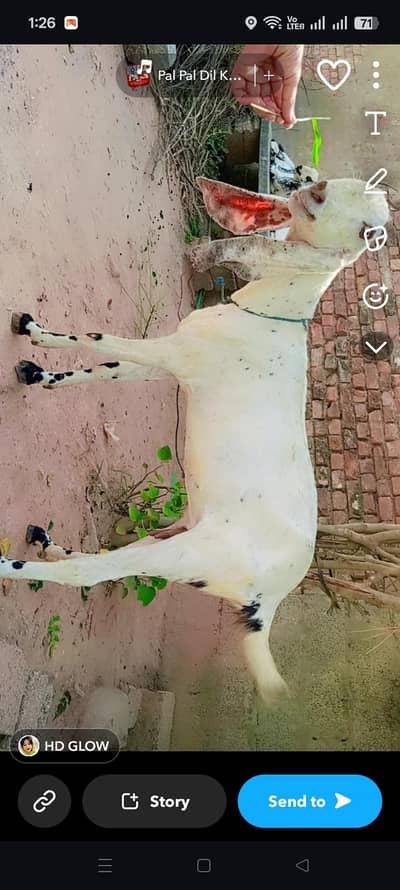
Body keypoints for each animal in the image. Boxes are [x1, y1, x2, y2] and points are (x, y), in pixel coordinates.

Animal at [2, 177, 389, 704]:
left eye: (367, 221)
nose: (309, 184)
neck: (268, 315)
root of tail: (269, 601)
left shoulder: (172, 354)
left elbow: (99, 338)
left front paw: (37, 340)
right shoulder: (166, 363)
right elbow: (102, 367)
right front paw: (38, 360)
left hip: (184, 552)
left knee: (92, 573)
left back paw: (12, 564)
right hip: (176, 540)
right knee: (113, 559)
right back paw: (48, 544)